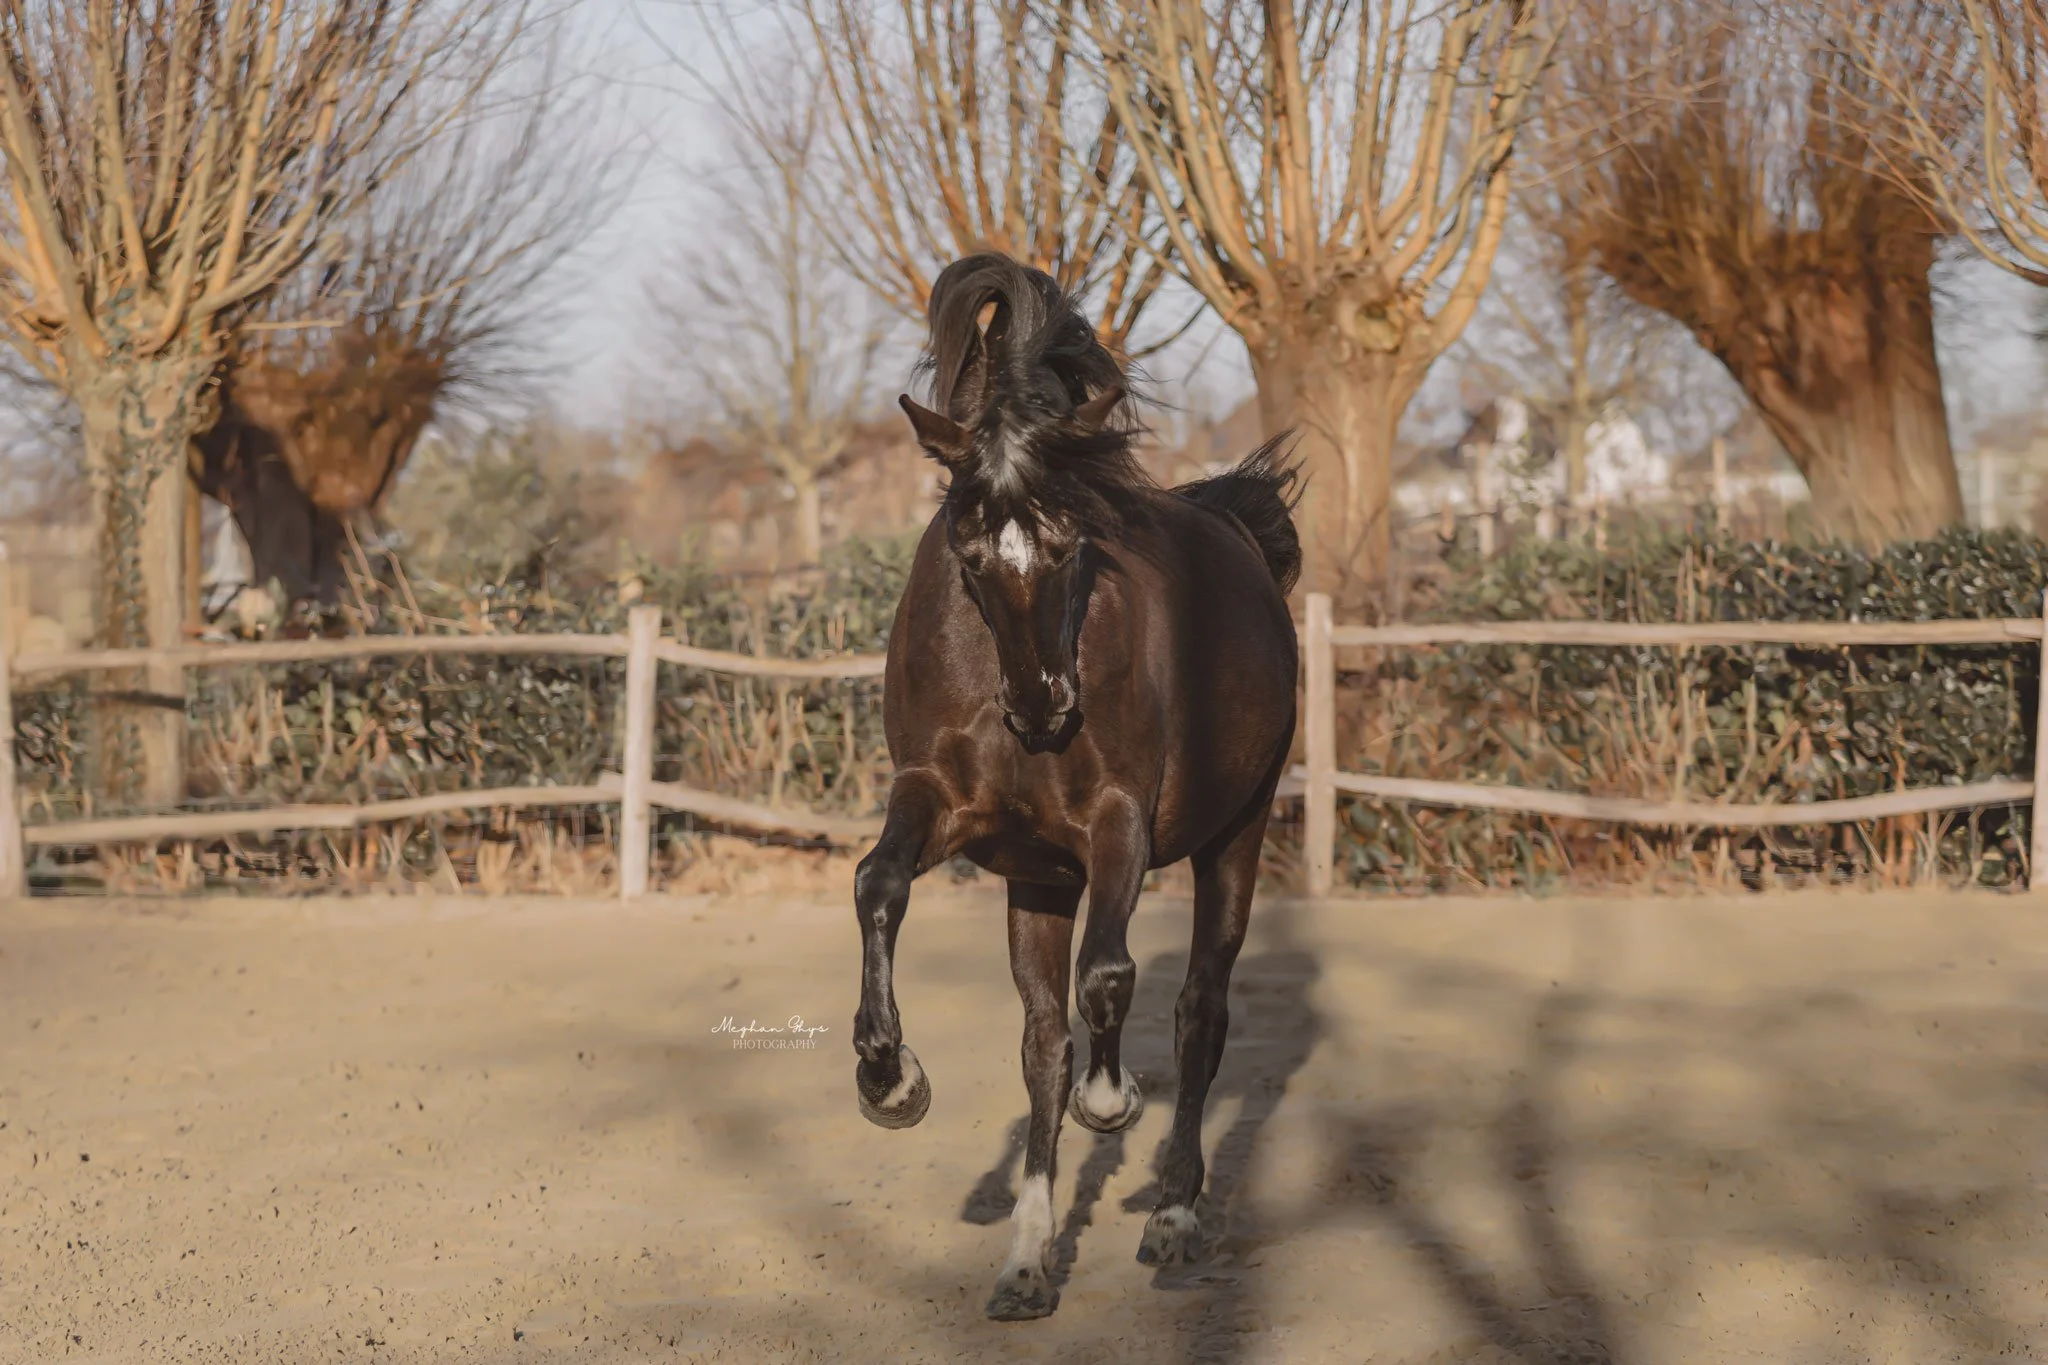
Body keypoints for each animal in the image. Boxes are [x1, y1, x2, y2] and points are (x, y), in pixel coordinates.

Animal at [851, 252, 1302, 1321]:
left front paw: (1115, 1099)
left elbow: (1111, 977)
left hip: (1238, 831)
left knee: (1198, 1009)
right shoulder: (943, 804)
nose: (1046, 708)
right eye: (971, 554)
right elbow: (877, 887)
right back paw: (1025, 1261)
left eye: (1072, 542)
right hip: (1040, 882)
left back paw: (1172, 1212)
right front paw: (889, 1076)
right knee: (1042, 1041)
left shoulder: (1118, 824)